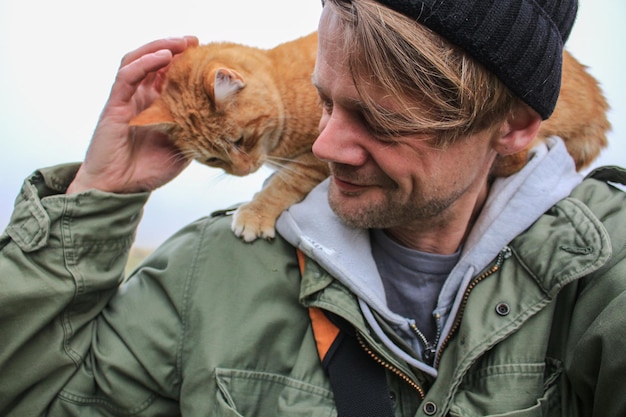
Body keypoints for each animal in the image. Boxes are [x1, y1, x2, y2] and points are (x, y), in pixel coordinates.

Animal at [130, 31, 604, 240]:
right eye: (214, 159)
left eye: (239, 141)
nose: (243, 170)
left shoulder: (321, 153)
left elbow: (286, 181)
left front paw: (257, 210)